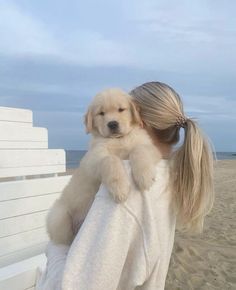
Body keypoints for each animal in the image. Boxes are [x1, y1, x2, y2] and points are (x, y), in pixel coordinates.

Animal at [46, 88, 160, 245]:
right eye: (101, 113)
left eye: (121, 109)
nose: (112, 124)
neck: (119, 140)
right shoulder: (93, 158)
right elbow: (110, 159)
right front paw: (120, 188)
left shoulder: (148, 146)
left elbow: (139, 150)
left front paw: (144, 176)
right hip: (58, 216)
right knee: (64, 239)